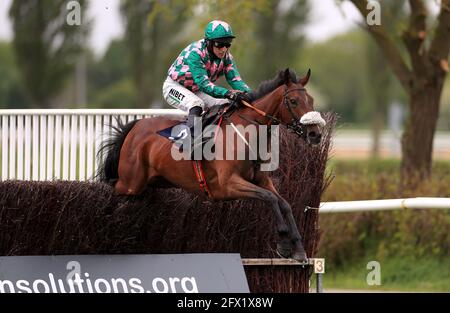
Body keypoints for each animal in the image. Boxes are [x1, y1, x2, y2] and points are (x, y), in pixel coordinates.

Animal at [98, 68, 326, 260]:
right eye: (294, 101)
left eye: (311, 100)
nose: (315, 134)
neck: (246, 133)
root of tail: (137, 126)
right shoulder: (228, 185)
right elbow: (269, 198)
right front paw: (284, 244)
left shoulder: (261, 179)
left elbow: (284, 203)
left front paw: (298, 248)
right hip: (130, 183)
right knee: (111, 186)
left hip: (151, 184)